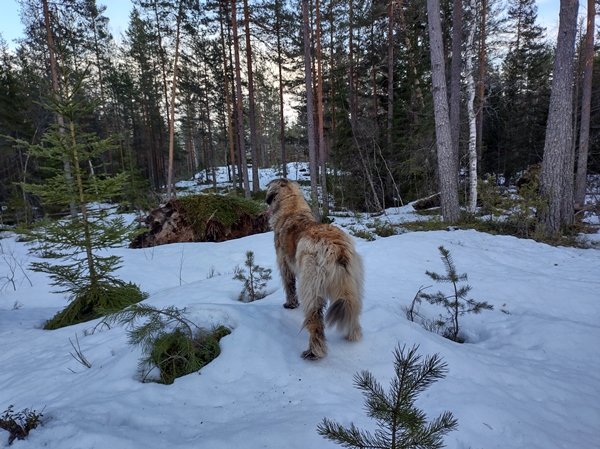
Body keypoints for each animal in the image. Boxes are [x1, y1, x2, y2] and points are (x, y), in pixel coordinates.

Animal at [264, 177, 364, 358]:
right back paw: (352, 334)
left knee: (315, 320)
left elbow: (289, 286)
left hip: (311, 285)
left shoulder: (284, 264)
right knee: (353, 308)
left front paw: (290, 304)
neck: (292, 206)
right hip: (353, 283)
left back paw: (314, 351)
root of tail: (337, 248)